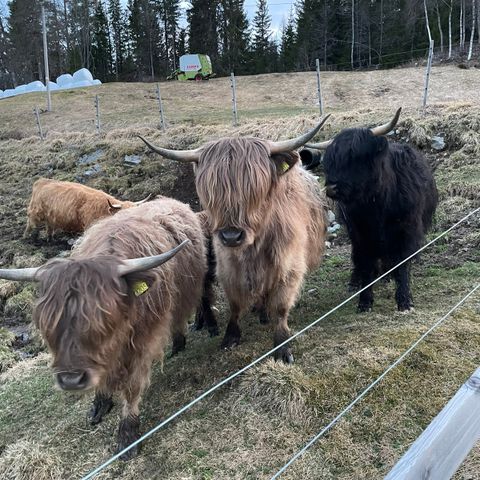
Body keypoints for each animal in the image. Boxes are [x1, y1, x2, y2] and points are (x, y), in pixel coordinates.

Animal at [0, 198, 206, 458]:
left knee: (179, 316)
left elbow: (132, 387)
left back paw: (178, 344)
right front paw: (100, 404)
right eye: (48, 323)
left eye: (103, 318)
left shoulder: (143, 341)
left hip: (187, 288)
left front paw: (127, 434)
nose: (71, 380)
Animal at [139, 117, 330, 364]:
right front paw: (231, 336)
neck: (254, 246)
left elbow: (280, 306)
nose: (231, 236)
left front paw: (282, 346)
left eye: (255, 191)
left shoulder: (288, 265)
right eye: (211, 192)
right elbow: (235, 303)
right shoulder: (228, 267)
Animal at [306, 108, 436, 312]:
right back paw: (356, 281)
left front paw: (405, 301)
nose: (331, 188)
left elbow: (402, 263)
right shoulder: (361, 232)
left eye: (355, 157)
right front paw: (365, 300)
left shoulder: (406, 229)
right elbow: (365, 261)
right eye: (330, 161)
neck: (378, 205)